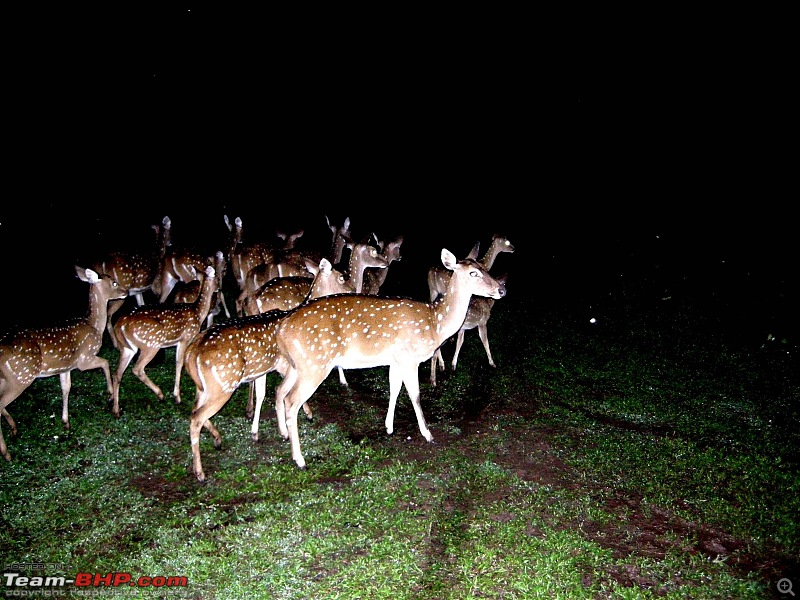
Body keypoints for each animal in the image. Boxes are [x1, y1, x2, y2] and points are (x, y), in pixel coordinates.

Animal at [0, 266, 126, 460]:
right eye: (113, 282)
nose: (126, 292)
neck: (95, 326)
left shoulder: (65, 367)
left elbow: (66, 388)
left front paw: (65, 421)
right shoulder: (84, 358)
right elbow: (105, 363)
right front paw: (110, 394)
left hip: (7, 378)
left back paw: (13, 429)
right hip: (20, 377)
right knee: (0, 404)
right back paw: (6, 452)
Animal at [110, 264, 219, 414]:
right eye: (217, 279)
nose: (218, 288)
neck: (197, 312)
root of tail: (120, 325)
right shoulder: (186, 337)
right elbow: (179, 363)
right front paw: (177, 397)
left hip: (127, 348)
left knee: (117, 373)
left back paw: (115, 408)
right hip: (151, 344)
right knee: (137, 369)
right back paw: (160, 394)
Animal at [188, 255, 354, 480]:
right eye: (342, 277)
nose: (354, 289)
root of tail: (191, 353)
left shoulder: (265, 368)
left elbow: (266, 394)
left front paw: (261, 432)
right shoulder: (287, 365)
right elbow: (282, 394)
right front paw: (299, 422)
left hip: (203, 386)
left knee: (194, 411)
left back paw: (217, 439)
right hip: (222, 385)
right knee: (196, 418)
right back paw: (200, 472)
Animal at [272, 246, 504, 472]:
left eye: (485, 269)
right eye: (473, 273)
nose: (502, 290)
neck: (435, 323)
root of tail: (282, 329)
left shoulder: (396, 359)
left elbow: (394, 389)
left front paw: (389, 426)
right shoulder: (410, 357)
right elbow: (415, 395)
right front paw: (428, 434)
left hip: (296, 365)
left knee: (281, 391)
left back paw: (285, 436)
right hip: (314, 363)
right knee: (291, 401)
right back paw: (300, 460)